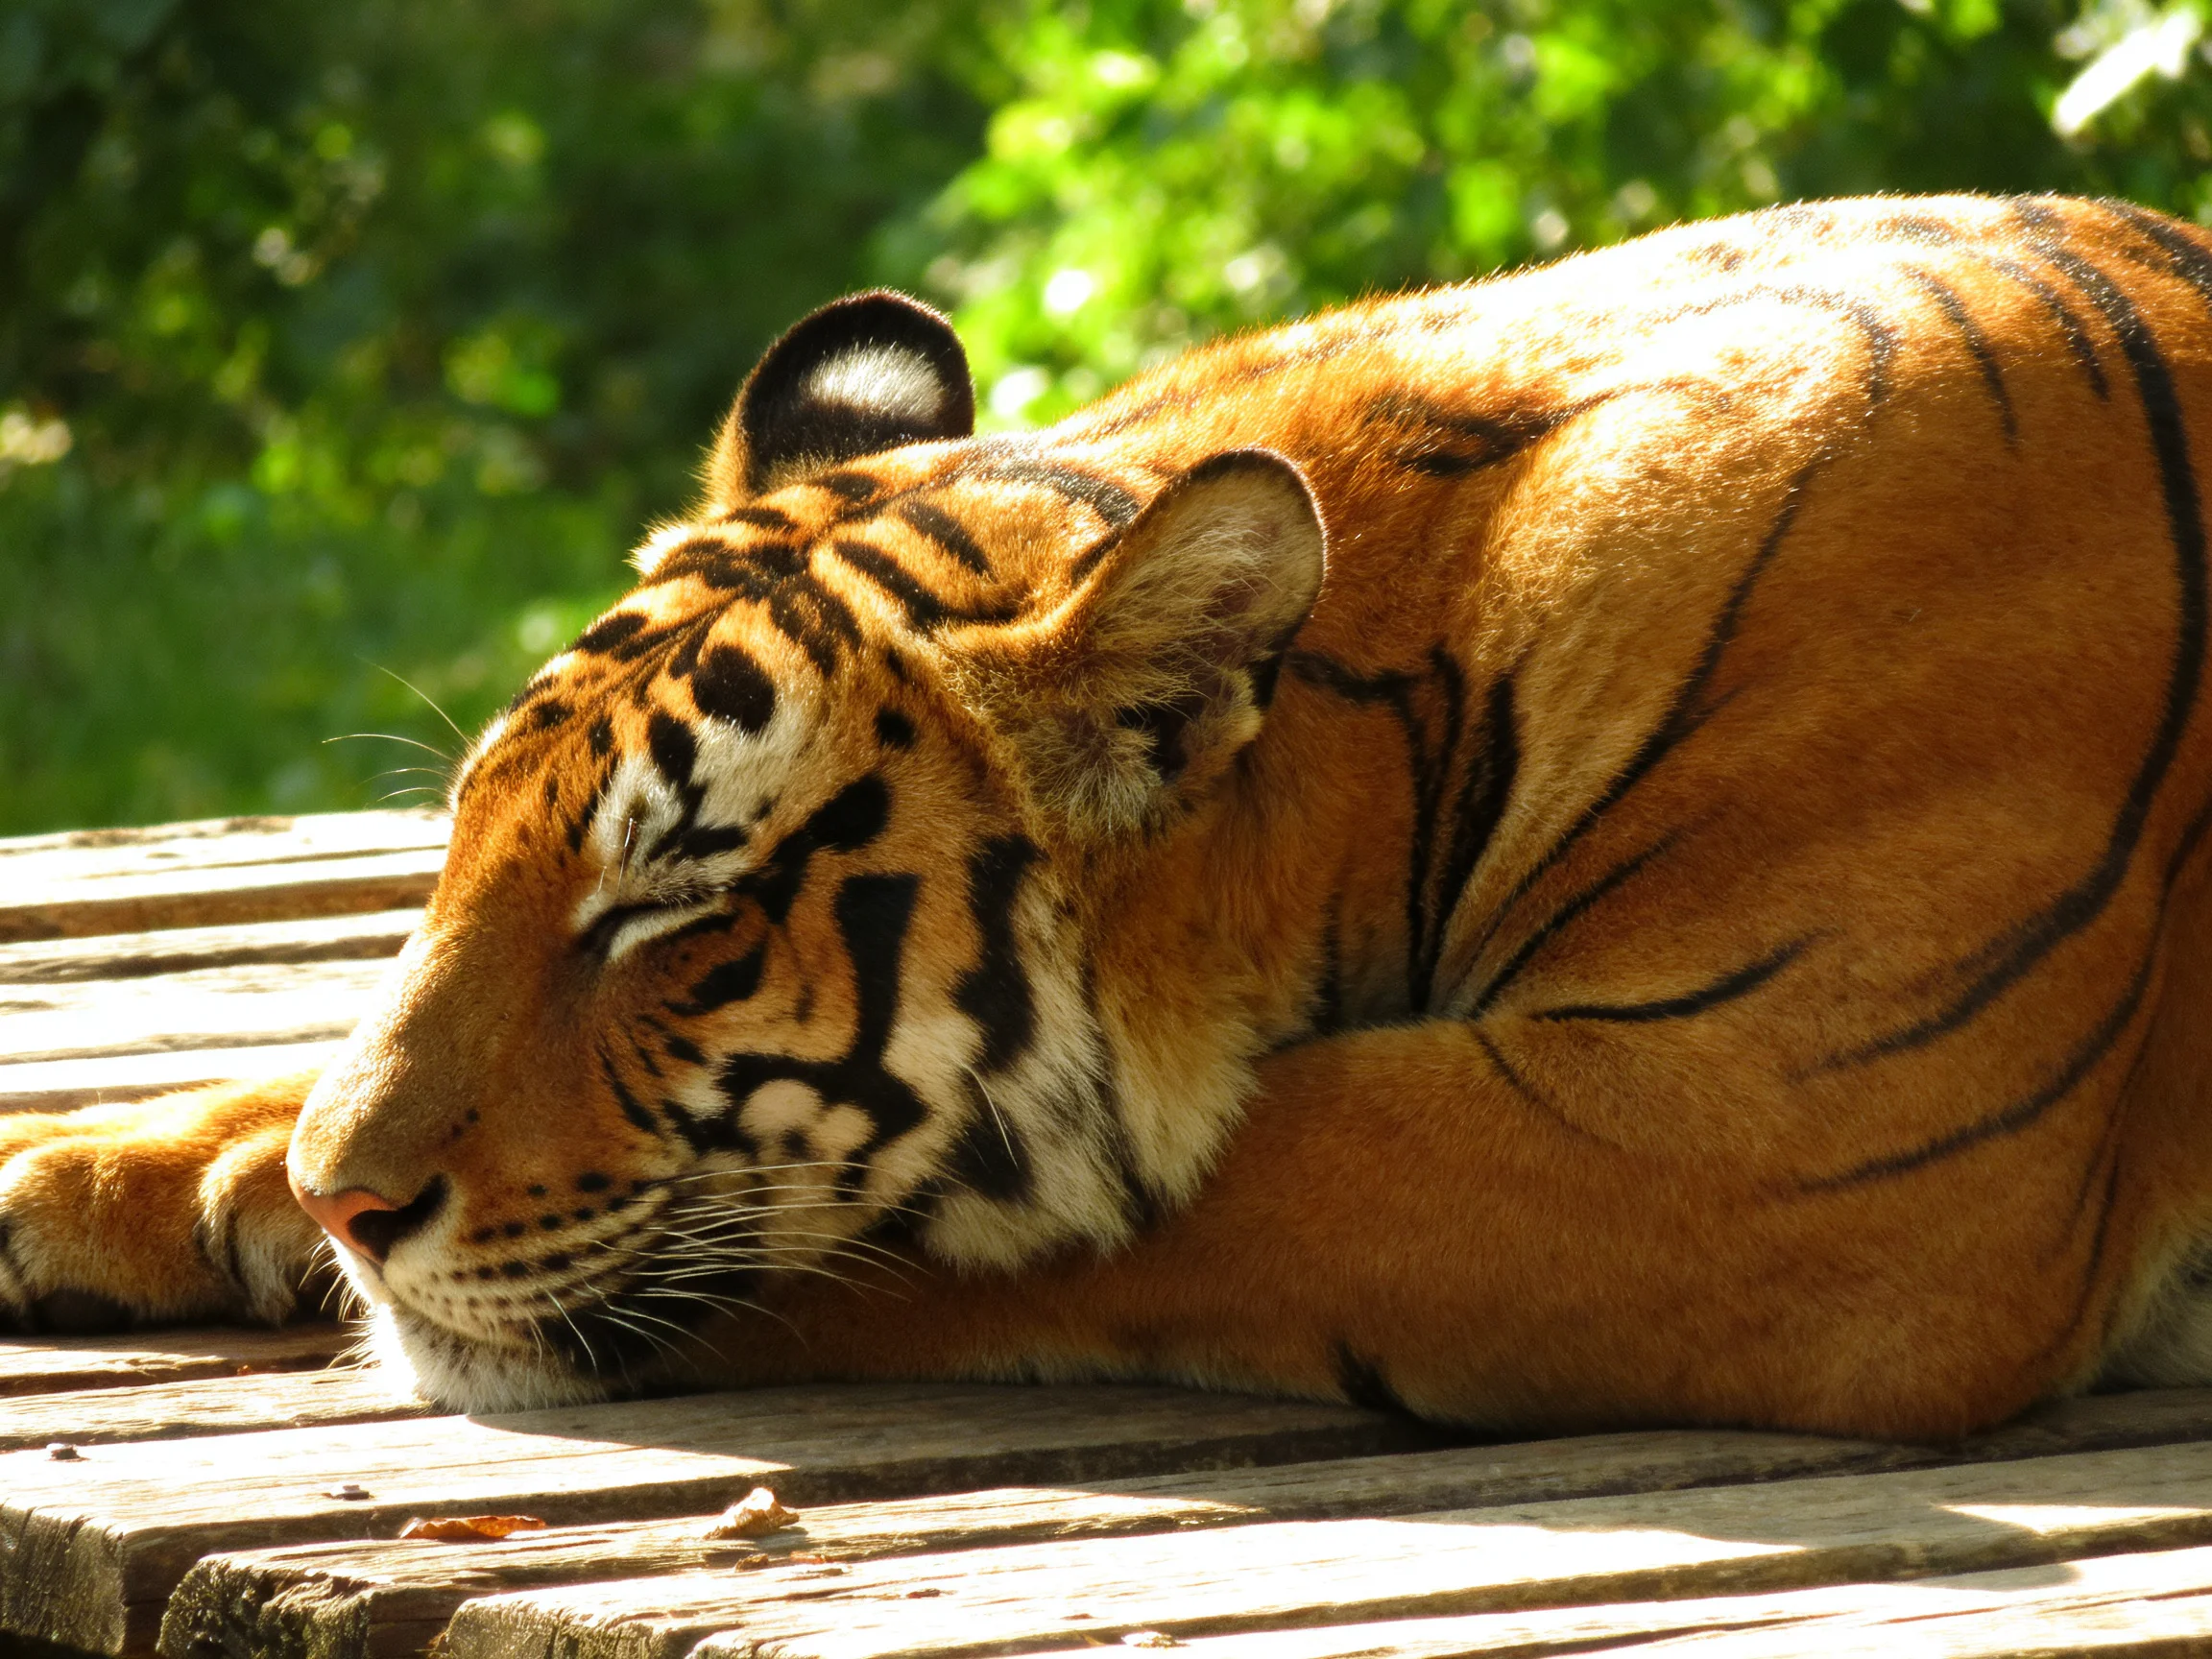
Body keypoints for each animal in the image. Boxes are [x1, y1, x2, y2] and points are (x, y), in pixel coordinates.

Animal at [8, 192, 2212, 1442]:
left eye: (680, 925)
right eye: (462, 856)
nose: (344, 1208)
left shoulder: (1774, 1145)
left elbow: (1183, 1188)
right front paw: (138, 1165)